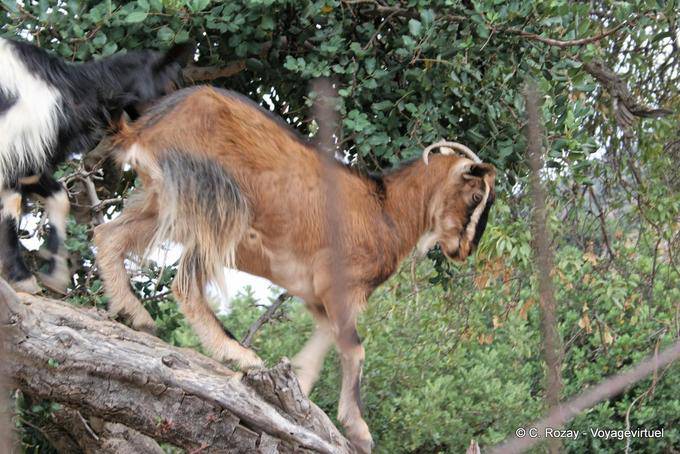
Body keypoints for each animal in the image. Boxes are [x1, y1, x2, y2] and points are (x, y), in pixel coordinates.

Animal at [0, 37, 193, 294]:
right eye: (170, 85)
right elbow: (12, 208)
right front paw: (21, 277)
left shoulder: (29, 162)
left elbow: (59, 197)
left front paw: (55, 273)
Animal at [94, 86, 496, 453]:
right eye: (476, 196)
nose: (464, 250)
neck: (388, 212)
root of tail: (146, 128)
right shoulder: (339, 285)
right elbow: (355, 349)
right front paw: (359, 431)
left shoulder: (316, 296)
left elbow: (320, 349)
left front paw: (298, 403)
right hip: (217, 200)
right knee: (185, 283)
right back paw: (236, 353)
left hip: (164, 204)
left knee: (108, 236)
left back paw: (134, 313)